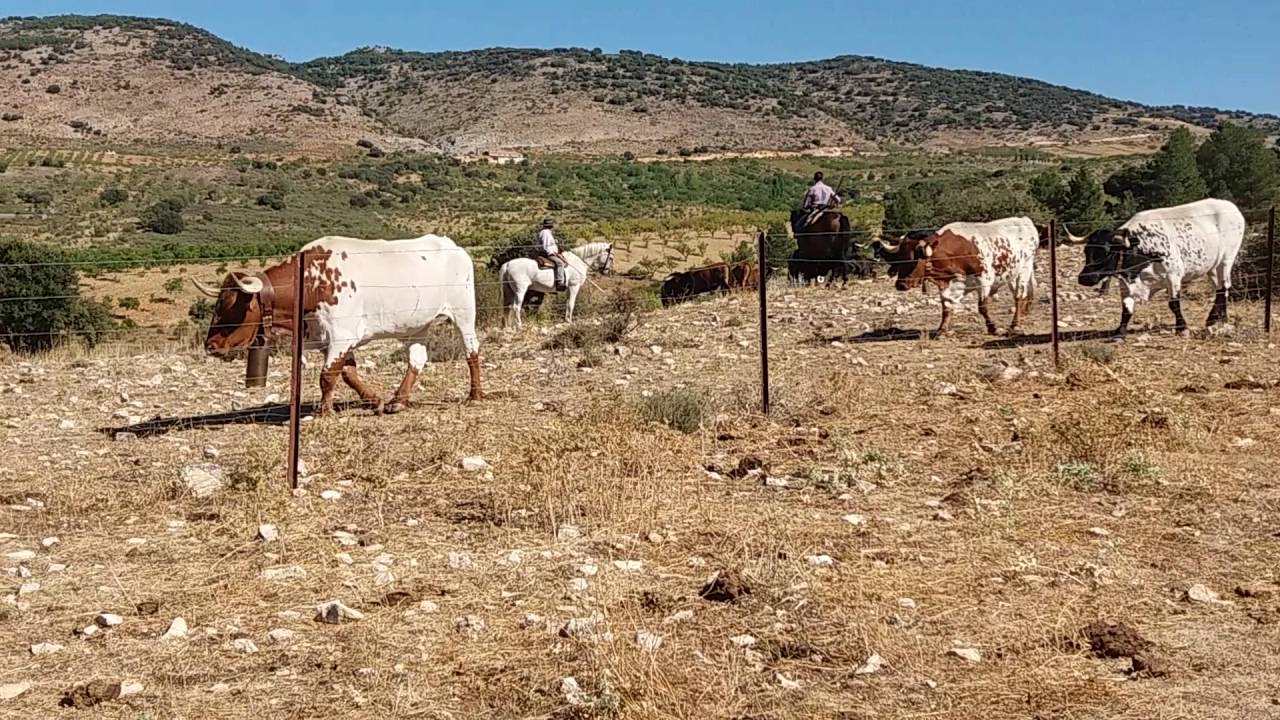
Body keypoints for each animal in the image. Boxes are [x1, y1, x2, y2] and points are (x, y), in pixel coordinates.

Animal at [192, 234, 482, 416]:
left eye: (230, 306)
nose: (211, 345)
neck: (310, 281)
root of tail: (452, 245)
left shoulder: (341, 335)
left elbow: (327, 375)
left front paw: (325, 411)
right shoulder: (329, 338)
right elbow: (348, 373)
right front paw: (374, 401)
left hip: (464, 313)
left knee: (472, 351)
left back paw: (475, 395)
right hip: (416, 325)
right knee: (417, 359)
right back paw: (398, 401)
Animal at [875, 217, 1039, 337]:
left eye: (913, 260)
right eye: (899, 259)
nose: (900, 285)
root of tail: (1025, 220)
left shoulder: (984, 280)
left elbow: (982, 307)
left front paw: (993, 328)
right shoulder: (948, 284)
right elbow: (946, 307)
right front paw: (942, 329)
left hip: (1024, 269)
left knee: (1019, 296)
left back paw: (1015, 325)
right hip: (1012, 274)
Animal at [1066, 198, 1245, 336]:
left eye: (1107, 252)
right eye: (1086, 251)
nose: (1084, 278)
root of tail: (1232, 207)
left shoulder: (1173, 276)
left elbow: (1173, 303)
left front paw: (1182, 327)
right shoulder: (1125, 283)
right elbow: (1126, 308)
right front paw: (1120, 330)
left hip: (1226, 260)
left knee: (1224, 286)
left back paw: (1214, 319)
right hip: (1212, 267)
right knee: (1220, 287)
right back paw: (1220, 317)